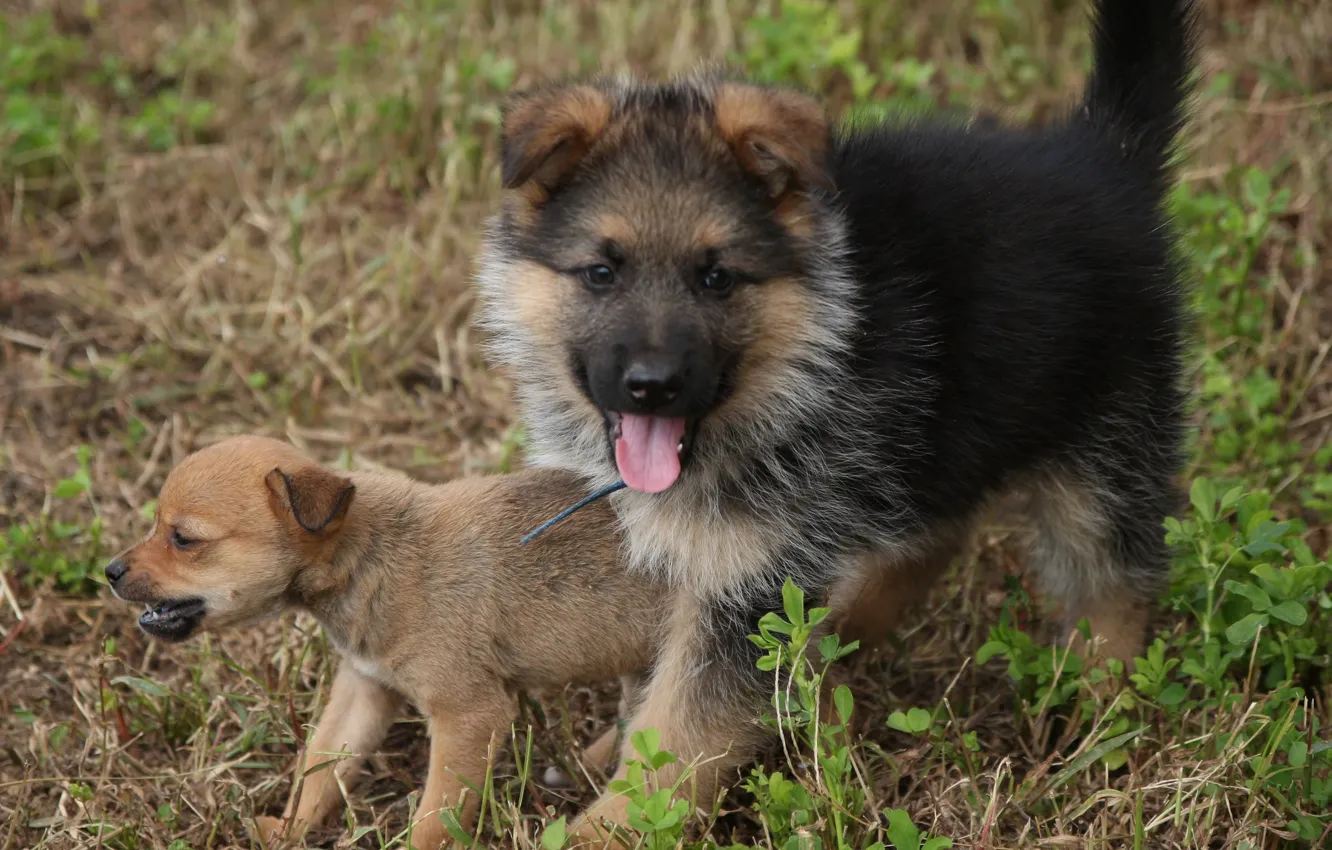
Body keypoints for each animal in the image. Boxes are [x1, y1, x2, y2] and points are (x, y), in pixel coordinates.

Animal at [107, 439, 660, 850]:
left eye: (183, 539)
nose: (109, 572)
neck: (371, 557)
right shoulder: (364, 688)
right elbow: (319, 769)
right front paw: (289, 830)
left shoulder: (468, 715)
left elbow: (435, 817)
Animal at [476, 0, 1198, 842]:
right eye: (600, 271)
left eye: (717, 278)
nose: (652, 387)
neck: (807, 354)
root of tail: (1102, 150)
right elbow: (656, 686)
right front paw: (611, 750)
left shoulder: (747, 580)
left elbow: (681, 733)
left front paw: (610, 827)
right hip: (944, 437)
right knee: (931, 538)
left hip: (1103, 449)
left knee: (1113, 586)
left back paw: (1106, 716)